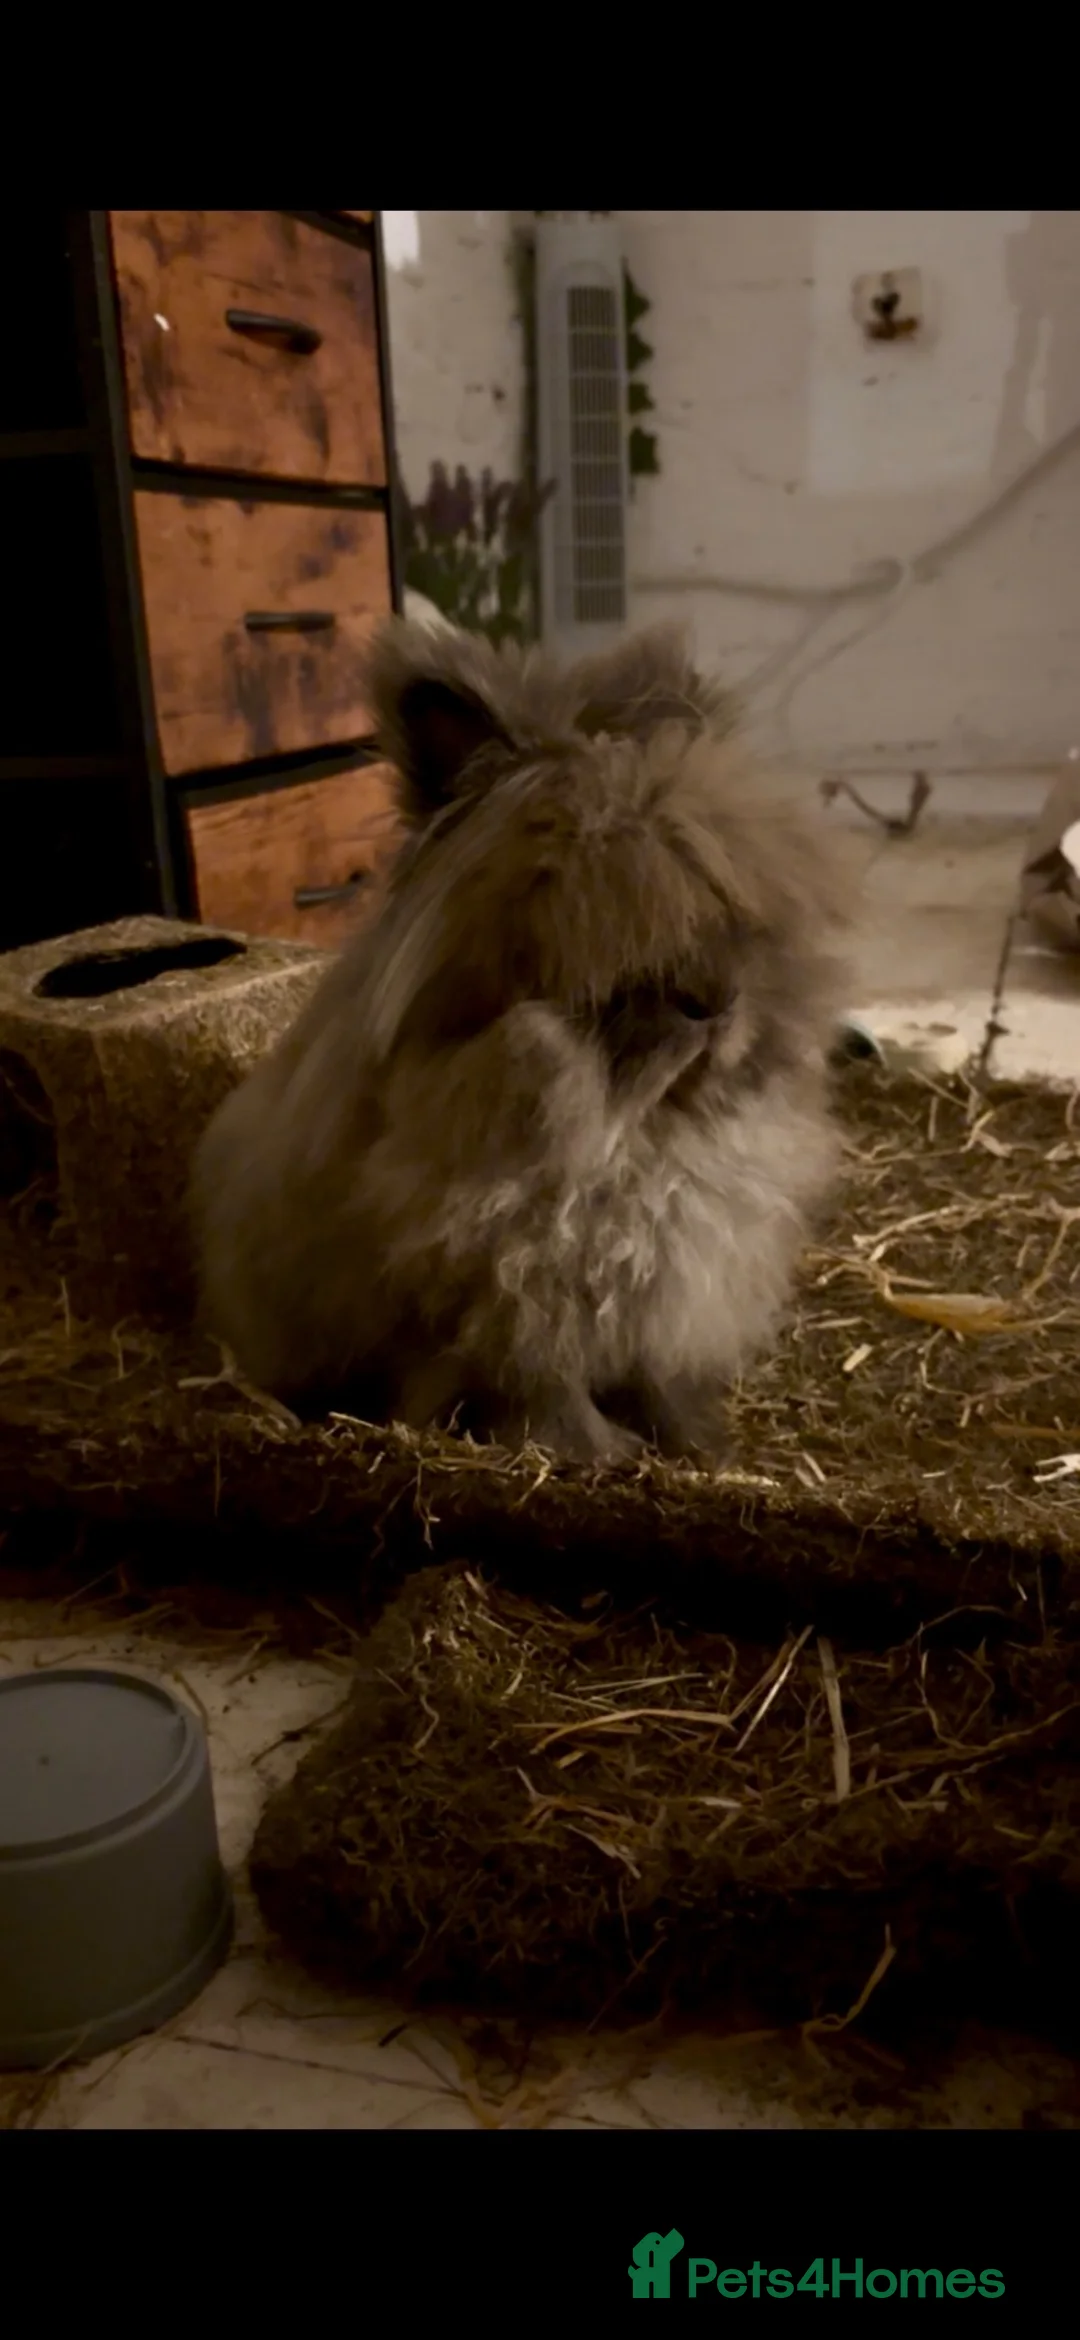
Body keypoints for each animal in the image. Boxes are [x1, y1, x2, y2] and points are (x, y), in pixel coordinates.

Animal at [191, 619, 852, 1465]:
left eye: (726, 902)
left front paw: (703, 1449)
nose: (714, 1003)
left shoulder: (661, 1303)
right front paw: (601, 1456)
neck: (631, 1135)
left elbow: (658, 1383)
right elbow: (544, 1390)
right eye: (592, 919)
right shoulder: (511, 1305)